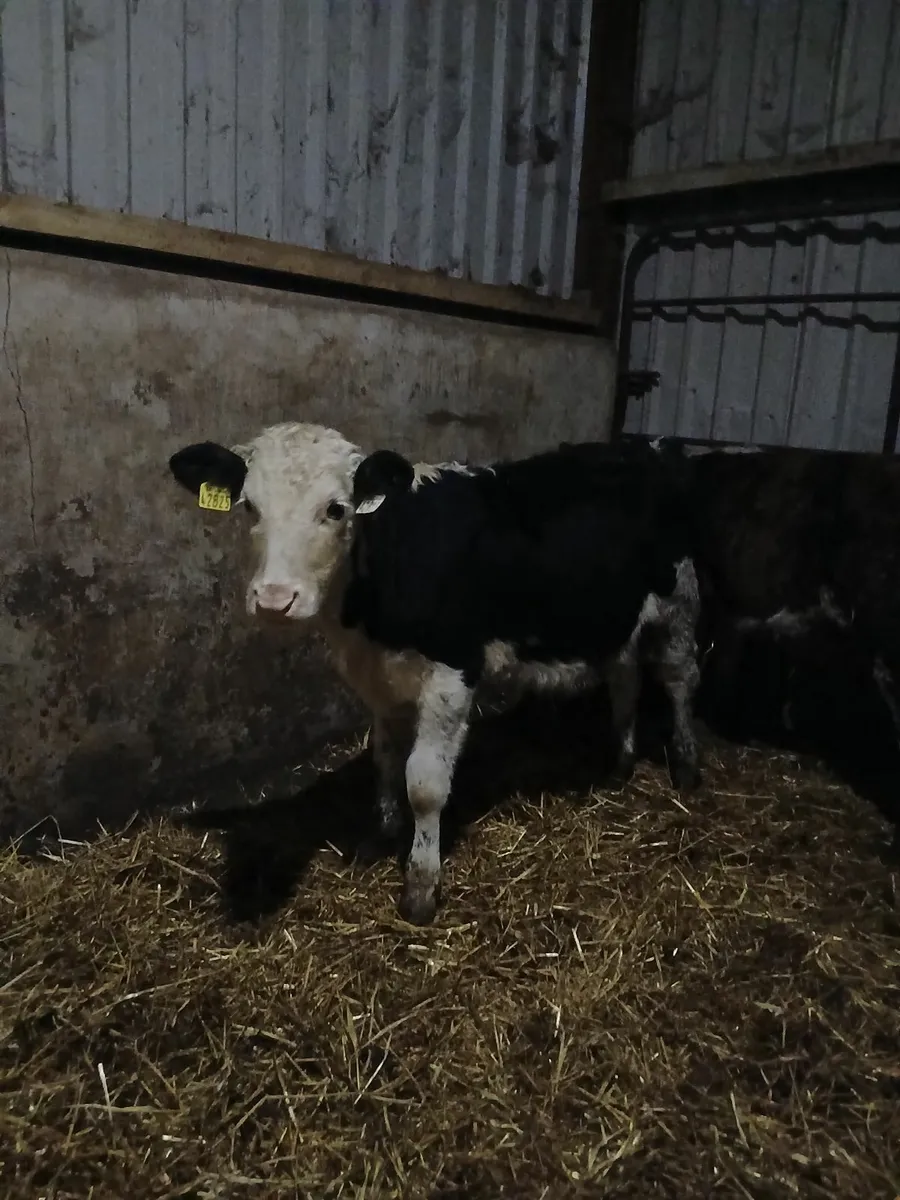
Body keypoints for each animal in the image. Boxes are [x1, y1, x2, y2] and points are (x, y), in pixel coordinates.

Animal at [169, 423, 702, 924]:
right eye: (249, 508)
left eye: (336, 509)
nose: (275, 599)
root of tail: (644, 443)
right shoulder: (378, 677)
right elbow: (385, 757)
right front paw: (382, 835)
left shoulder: (452, 674)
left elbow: (424, 784)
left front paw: (421, 887)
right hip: (614, 616)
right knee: (625, 676)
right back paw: (620, 764)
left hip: (678, 601)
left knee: (679, 679)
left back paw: (688, 767)